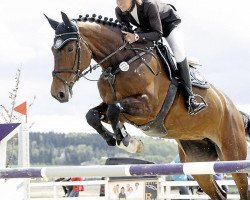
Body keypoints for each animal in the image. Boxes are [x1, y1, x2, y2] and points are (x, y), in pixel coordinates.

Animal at [45, 12, 250, 200]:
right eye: (53, 50)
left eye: (70, 49)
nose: (58, 94)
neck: (120, 62)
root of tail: (235, 111)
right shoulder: (116, 106)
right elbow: (94, 115)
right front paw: (118, 139)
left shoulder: (149, 108)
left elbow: (114, 109)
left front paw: (129, 142)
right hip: (198, 162)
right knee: (218, 193)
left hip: (233, 152)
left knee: (242, 187)